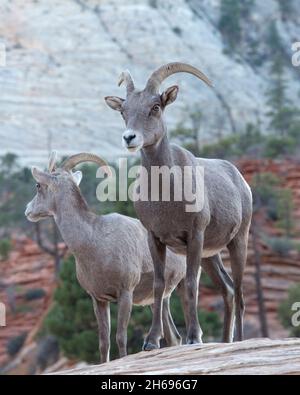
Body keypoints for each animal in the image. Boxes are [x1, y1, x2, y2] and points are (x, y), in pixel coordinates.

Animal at [24, 152, 186, 362]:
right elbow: (103, 342)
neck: (95, 241)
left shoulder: (125, 294)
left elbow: (121, 337)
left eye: (38, 185)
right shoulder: (99, 300)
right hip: (159, 300)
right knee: (174, 337)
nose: (28, 210)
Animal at [104, 63, 252, 352]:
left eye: (155, 107)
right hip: (210, 255)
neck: (166, 194)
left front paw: (194, 337)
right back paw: (225, 340)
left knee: (240, 292)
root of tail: (239, 179)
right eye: (124, 111)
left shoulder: (194, 236)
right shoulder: (155, 239)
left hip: (237, 242)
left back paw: (239, 341)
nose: (130, 138)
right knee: (228, 290)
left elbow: (191, 285)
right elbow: (160, 286)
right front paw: (151, 342)